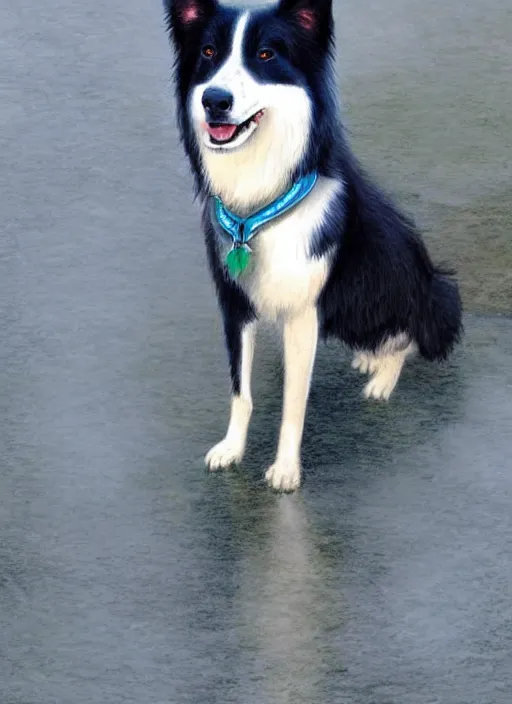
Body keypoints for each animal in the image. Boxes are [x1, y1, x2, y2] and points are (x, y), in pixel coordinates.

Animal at [163, 0, 460, 490]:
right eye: (208, 52)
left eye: (266, 55)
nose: (215, 101)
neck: (259, 199)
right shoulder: (235, 305)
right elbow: (240, 391)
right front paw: (232, 449)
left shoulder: (304, 315)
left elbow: (293, 403)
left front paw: (285, 471)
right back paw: (368, 360)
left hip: (413, 292)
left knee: (409, 335)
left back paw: (381, 378)